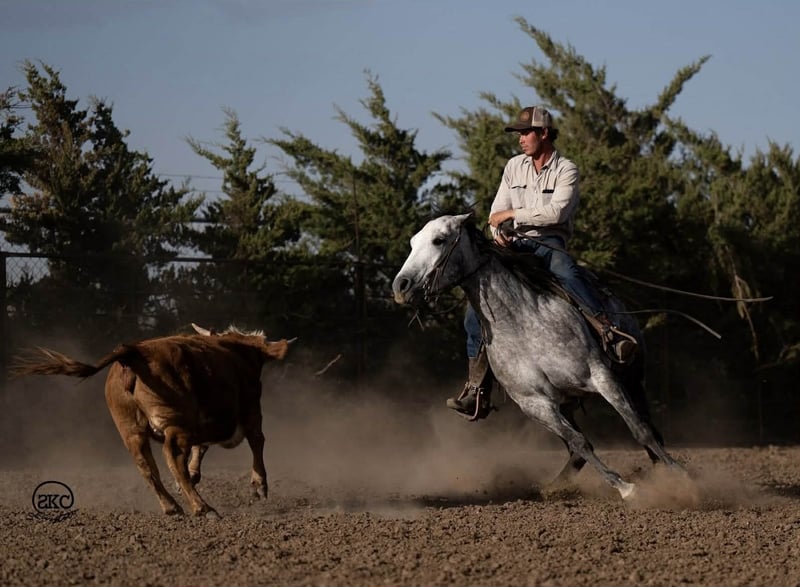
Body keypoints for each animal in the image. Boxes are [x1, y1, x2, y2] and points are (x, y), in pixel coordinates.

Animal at [11, 325, 292, 517]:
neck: (238, 353)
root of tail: (133, 353)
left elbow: (201, 446)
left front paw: (193, 474)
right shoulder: (251, 410)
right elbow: (257, 440)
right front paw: (259, 485)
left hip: (130, 428)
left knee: (145, 465)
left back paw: (172, 506)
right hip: (177, 422)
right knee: (173, 455)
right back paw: (203, 508)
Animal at [391, 213, 685, 500]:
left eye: (439, 240)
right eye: (413, 242)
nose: (400, 286)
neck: (520, 323)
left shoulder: (601, 376)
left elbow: (639, 429)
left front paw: (679, 477)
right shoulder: (534, 403)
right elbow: (580, 442)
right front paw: (625, 488)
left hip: (632, 378)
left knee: (648, 425)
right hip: (566, 402)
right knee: (577, 451)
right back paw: (556, 486)